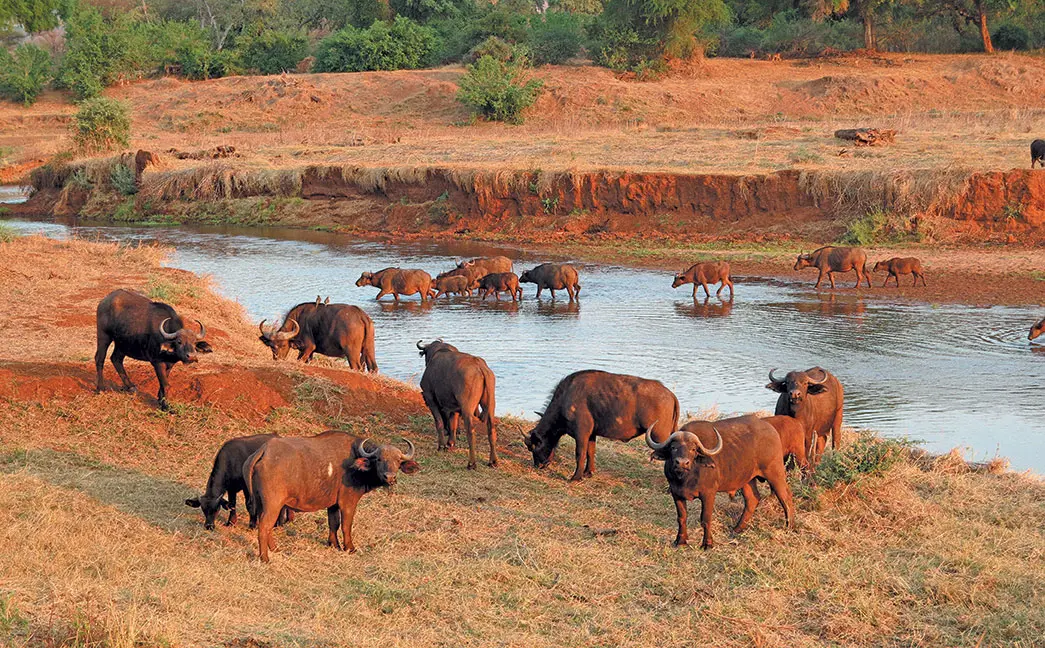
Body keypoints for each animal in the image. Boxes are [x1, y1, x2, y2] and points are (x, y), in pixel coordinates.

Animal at [244, 431, 418, 563]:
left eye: (397, 460)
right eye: (379, 459)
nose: (390, 477)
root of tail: (265, 451)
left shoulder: (333, 504)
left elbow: (333, 523)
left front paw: (334, 544)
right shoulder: (348, 501)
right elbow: (346, 525)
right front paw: (349, 548)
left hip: (263, 503)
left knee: (267, 526)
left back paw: (275, 549)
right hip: (273, 504)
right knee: (264, 527)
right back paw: (265, 558)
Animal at [418, 340, 497, 469]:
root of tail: (480, 366)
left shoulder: (430, 399)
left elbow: (439, 422)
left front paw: (441, 445)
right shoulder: (453, 407)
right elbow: (453, 425)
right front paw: (450, 443)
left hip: (467, 408)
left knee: (471, 432)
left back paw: (471, 464)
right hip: (490, 407)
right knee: (492, 430)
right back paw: (493, 461)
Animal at [524, 370, 679, 481]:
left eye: (534, 446)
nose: (538, 465)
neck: (566, 398)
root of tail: (670, 394)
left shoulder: (581, 433)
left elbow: (580, 453)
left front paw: (575, 477)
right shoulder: (591, 434)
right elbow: (590, 452)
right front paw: (588, 473)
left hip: (659, 436)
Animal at [646, 416, 794, 548]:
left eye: (693, 449)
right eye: (673, 447)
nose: (682, 463)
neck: (686, 478)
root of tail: (771, 430)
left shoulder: (708, 494)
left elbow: (705, 519)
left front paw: (707, 544)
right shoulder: (676, 493)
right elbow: (681, 518)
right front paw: (680, 541)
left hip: (775, 473)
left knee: (786, 496)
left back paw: (789, 526)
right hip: (747, 480)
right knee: (753, 499)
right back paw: (736, 529)